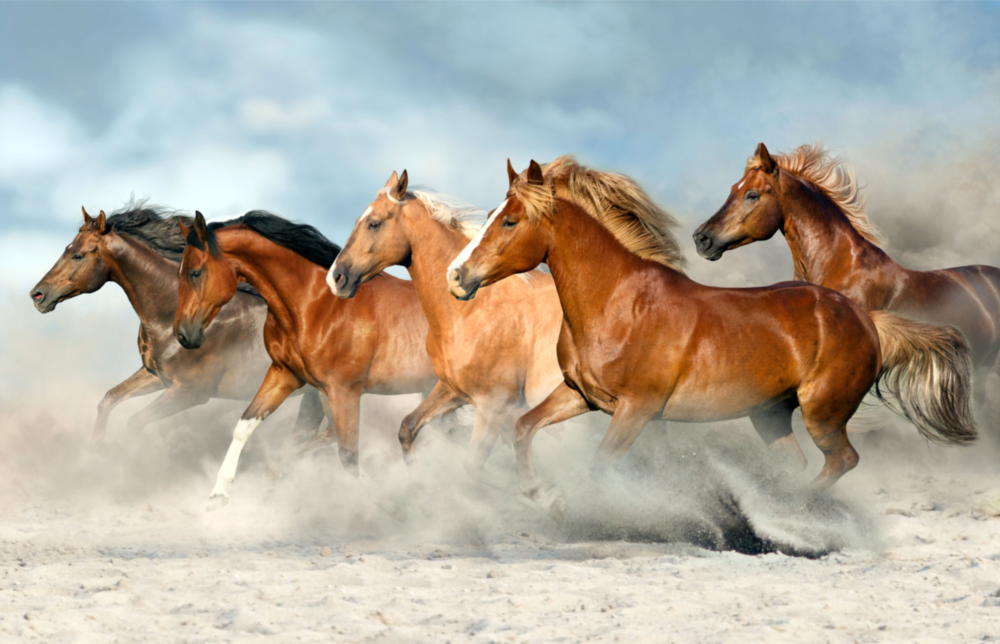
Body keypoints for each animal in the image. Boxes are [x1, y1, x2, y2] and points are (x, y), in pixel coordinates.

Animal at [29, 202, 325, 441]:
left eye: (77, 255)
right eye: (67, 249)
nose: (37, 295)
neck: (168, 317)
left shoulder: (189, 393)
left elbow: (133, 423)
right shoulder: (155, 376)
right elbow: (108, 400)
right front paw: (95, 451)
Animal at [174, 210, 437, 510]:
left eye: (195, 272)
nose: (183, 334)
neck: (314, 306)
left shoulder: (344, 391)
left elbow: (347, 454)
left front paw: (391, 504)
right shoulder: (286, 375)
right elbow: (246, 425)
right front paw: (219, 493)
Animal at [327, 173, 565, 490]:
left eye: (374, 223)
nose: (335, 278)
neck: (473, 310)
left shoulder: (494, 404)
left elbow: (477, 467)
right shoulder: (454, 390)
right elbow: (408, 427)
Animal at [447, 157, 976, 515]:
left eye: (510, 220)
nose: (457, 276)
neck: (617, 301)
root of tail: (867, 319)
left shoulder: (637, 409)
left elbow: (600, 467)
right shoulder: (583, 395)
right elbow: (522, 428)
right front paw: (543, 494)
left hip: (823, 413)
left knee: (841, 461)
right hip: (770, 414)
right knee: (798, 465)